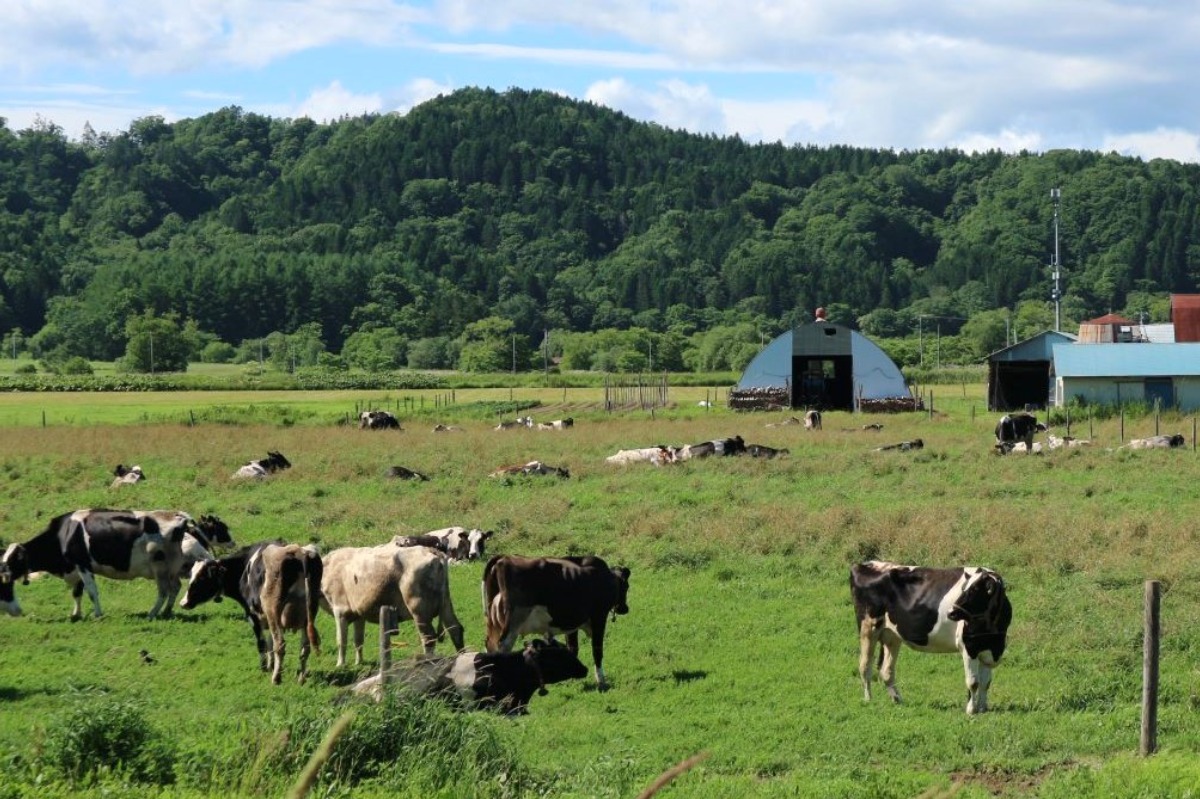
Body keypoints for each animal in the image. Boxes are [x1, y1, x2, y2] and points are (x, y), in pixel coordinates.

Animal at [3, 506, 200, 619]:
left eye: (12, 561)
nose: (4, 576)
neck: (64, 534)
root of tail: (177, 516)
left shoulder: (82, 565)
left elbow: (91, 591)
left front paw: (97, 614)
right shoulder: (77, 568)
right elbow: (77, 593)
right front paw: (76, 614)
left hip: (160, 567)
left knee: (164, 590)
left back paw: (152, 613)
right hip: (171, 568)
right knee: (175, 587)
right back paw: (166, 612)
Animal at [321, 535, 465, 667]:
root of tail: (432, 551)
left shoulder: (340, 610)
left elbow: (341, 640)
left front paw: (340, 665)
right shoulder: (359, 613)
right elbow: (358, 640)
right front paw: (359, 663)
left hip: (419, 608)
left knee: (428, 637)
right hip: (445, 603)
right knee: (455, 628)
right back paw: (462, 658)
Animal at [480, 551, 633, 686]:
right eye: (626, 586)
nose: (624, 609)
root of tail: (503, 558)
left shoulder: (572, 623)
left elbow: (573, 648)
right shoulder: (599, 617)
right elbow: (597, 650)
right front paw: (601, 680)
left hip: (494, 624)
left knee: (490, 646)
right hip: (513, 624)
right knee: (502, 647)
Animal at [854, 556, 1012, 710]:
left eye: (975, 590)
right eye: (963, 588)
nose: (951, 612)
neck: (992, 631)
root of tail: (866, 563)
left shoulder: (990, 649)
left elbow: (986, 682)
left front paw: (983, 708)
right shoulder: (969, 647)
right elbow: (973, 682)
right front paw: (971, 710)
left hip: (891, 635)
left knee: (886, 670)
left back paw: (897, 700)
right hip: (868, 627)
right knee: (865, 666)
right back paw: (868, 700)